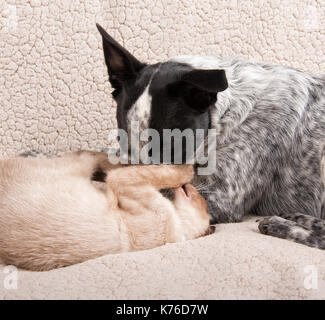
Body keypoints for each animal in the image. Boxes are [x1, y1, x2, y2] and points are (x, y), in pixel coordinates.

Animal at [0, 151, 209, 272]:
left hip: (77, 166)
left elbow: (169, 173)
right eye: (201, 199)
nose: (194, 188)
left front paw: (188, 168)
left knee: (88, 155)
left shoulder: (126, 182)